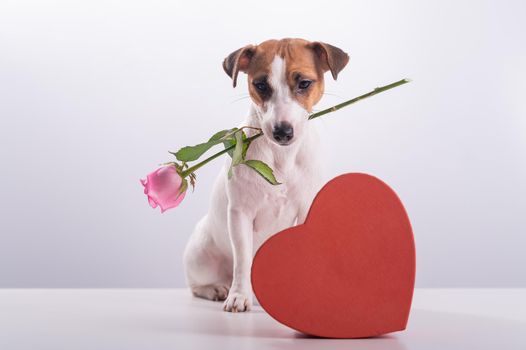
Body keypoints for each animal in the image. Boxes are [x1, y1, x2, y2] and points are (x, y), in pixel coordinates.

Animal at [184, 38, 348, 312]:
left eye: (304, 83)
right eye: (260, 85)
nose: (282, 131)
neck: (282, 158)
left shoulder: (306, 210)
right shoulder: (240, 215)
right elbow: (242, 260)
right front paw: (239, 296)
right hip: (200, 253)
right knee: (198, 284)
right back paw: (217, 288)